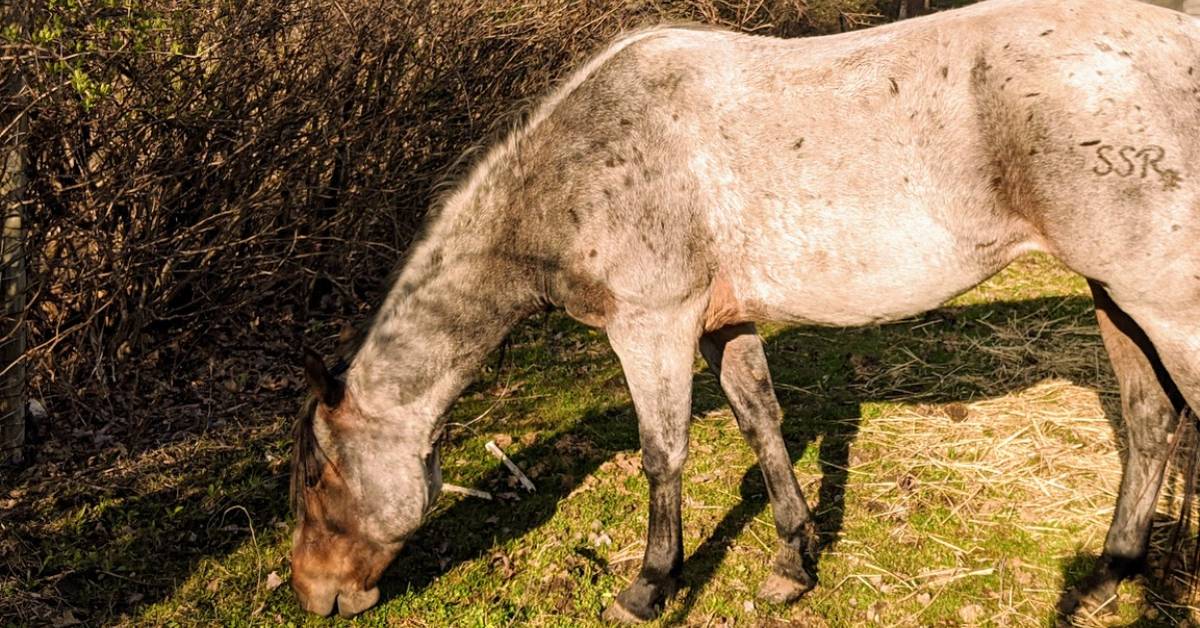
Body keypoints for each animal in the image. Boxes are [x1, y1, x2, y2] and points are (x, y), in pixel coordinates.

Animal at [289, 0, 1200, 621]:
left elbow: (663, 455)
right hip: (1116, 297)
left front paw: (650, 585)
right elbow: (762, 423)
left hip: (1163, 305)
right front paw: (794, 563)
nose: (311, 593)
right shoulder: (720, 323)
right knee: (1151, 423)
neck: (571, 168)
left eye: (317, 479)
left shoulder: (651, 325)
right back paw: (1108, 575)